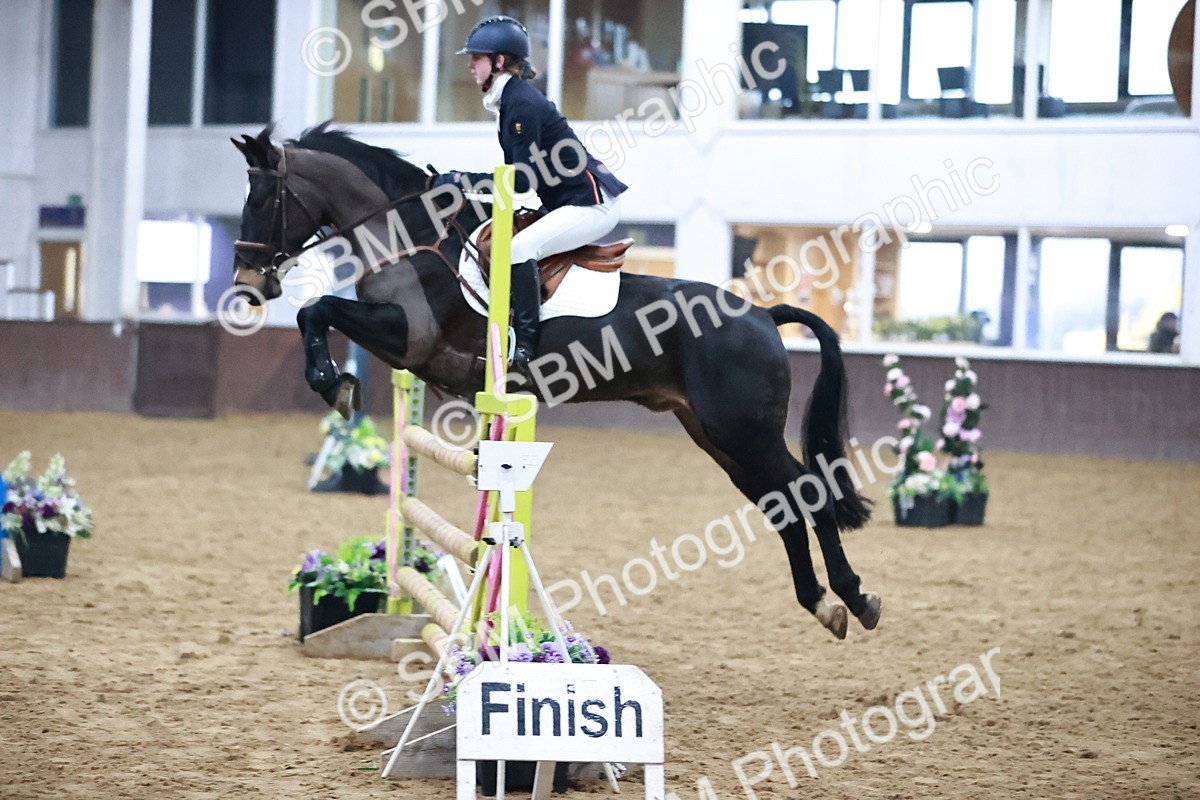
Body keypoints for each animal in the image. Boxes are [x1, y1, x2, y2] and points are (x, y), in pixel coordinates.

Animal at [230, 123, 881, 639]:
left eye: (262, 197)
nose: (248, 285)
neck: (411, 238)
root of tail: (764, 315)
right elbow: (318, 313)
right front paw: (335, 382)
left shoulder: (408, 336)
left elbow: (317, 310)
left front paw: (330, 382)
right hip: (718, 438)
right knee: (784, 505)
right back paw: (823, 604)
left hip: (745, 432)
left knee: (809, 492)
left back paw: (853, 596)